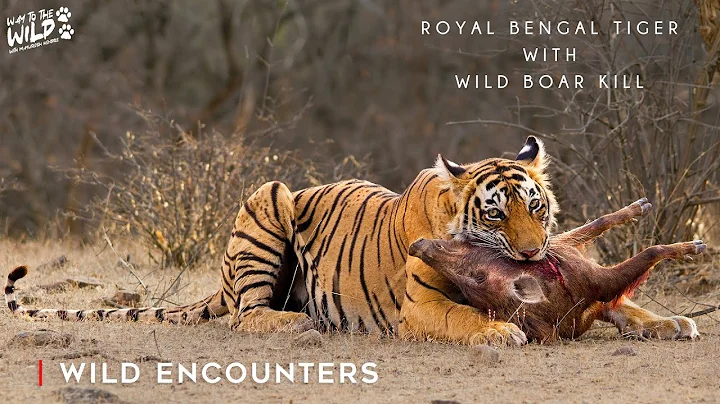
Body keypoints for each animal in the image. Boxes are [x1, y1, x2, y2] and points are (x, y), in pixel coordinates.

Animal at [408, 198, 707, 342]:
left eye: (476, 277)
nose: (417, 245)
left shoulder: (560, 246)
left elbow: (599, 221)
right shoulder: (602, 281)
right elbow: (650, 253)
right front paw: (694, 246)